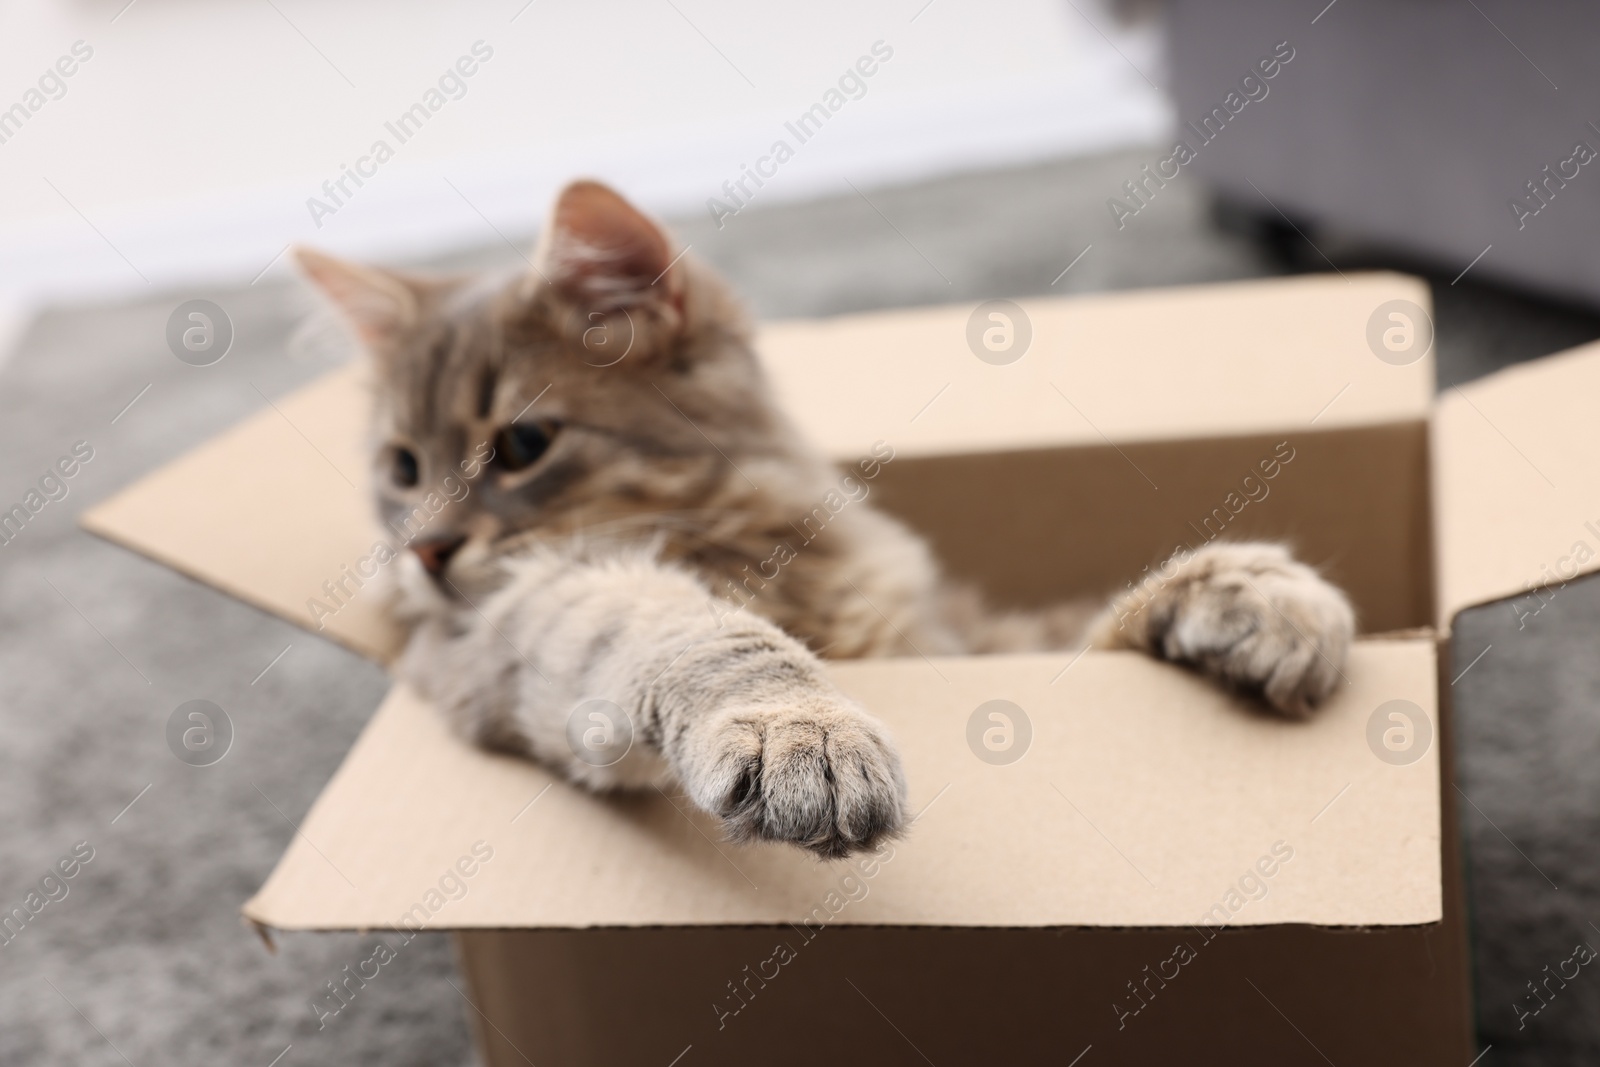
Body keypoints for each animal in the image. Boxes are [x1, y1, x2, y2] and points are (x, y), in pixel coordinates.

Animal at [297, 181, 1350, 857]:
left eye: (522, 444)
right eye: (402, 469)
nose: (425, 549)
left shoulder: (971, 640)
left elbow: (1103, 618)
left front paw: (1247, 590)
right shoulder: (508, 630)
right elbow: (696, 631)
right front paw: (799, 726)